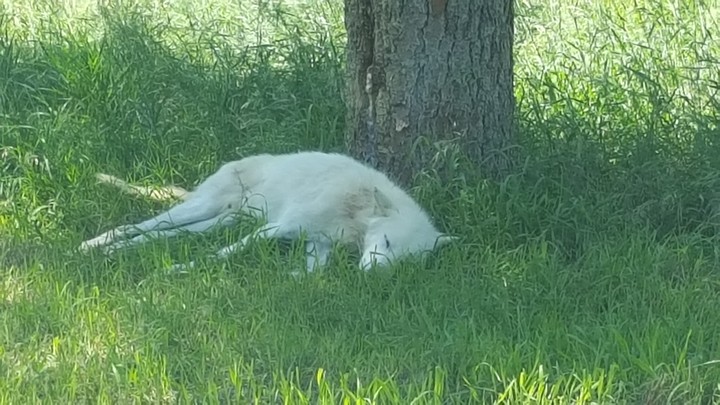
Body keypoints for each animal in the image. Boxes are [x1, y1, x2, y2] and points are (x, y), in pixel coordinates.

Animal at [79, 151, 456, 272]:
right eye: (387, 242)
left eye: (404, 262)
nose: (371, 275)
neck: (353, 214)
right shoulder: (275, 228)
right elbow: (223, 254)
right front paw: (176, 271)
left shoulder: (317, 244)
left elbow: (313, 273)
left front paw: (293, 278)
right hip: (199, 209)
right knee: (140, 226)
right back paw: (94, 246)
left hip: (215, 222)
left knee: (161, 235)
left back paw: (114, 252)